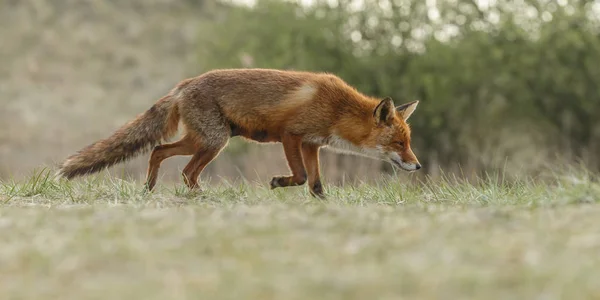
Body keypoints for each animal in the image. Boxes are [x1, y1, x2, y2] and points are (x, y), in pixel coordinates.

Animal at [57, 68, 422, 197]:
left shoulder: (311, 145)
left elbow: (316, 184)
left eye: (408, 143)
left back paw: (149, 189)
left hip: (202, 140)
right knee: (185, 170)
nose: (417, 166)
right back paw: (199, 196)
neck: (336, 109)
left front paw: (323, 206)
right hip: (213, 141)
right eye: (399, 143)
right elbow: (301, 176)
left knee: (158, 151)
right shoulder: (291, 136)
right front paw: (277, 183)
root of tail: (183, 85)